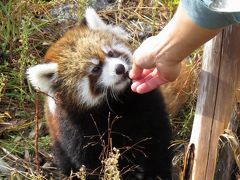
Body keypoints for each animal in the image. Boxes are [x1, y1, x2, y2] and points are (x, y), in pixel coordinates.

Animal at [27, 7, 172, 179]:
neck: (116, 104)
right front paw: (125, 172)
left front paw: (158, 171)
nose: (120, 68)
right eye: (95, 69)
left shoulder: (147, 104)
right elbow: (94, 162)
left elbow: (157, 140)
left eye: (111, 53)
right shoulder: (77, 130)